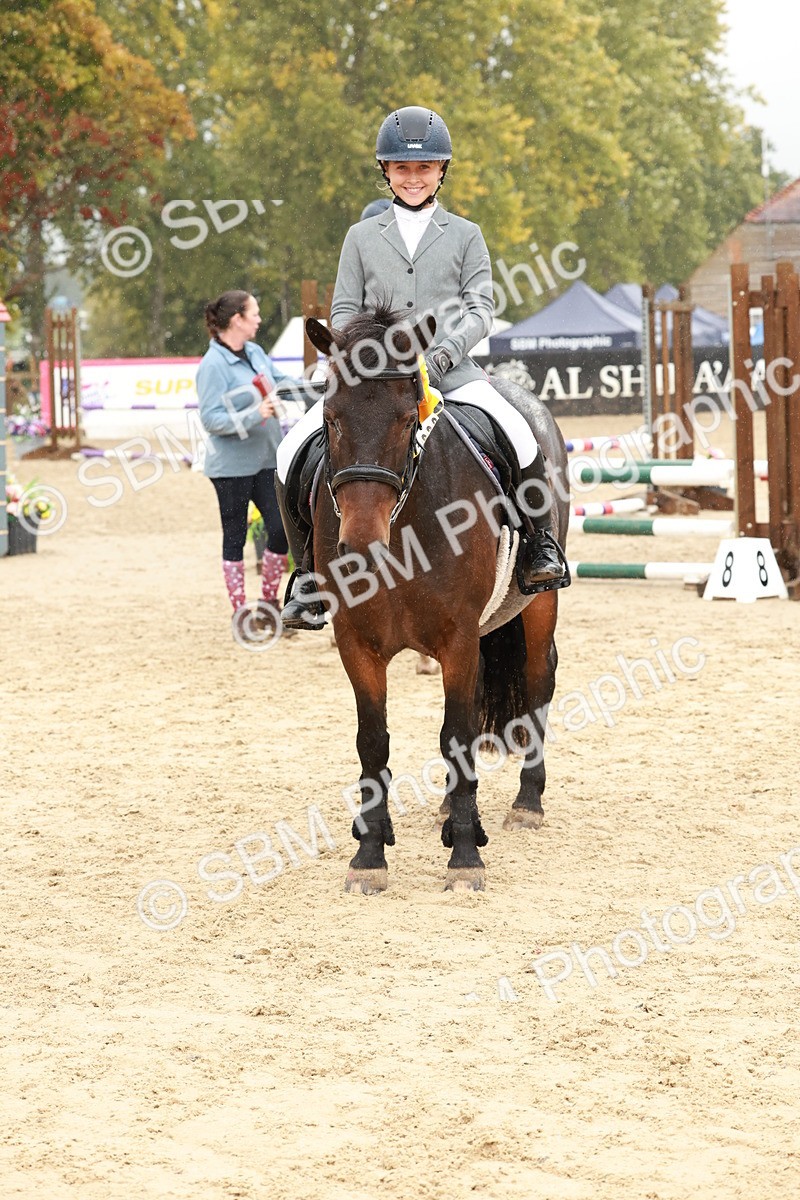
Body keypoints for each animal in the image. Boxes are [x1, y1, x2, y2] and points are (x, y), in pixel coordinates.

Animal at [303, 305, 569, 893]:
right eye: (330, 418)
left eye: (407, 420)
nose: (361, 544)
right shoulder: (356, 642)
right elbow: (373, 741)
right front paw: (369, 857)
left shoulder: (458, 638)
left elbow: (458, 737)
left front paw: (466, 857)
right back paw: (453, 806)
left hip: (538, 604)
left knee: (538, 679)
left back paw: (526, 803)